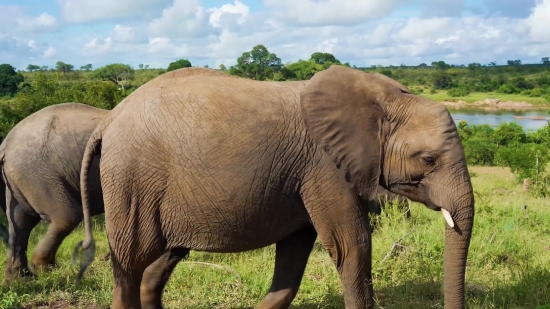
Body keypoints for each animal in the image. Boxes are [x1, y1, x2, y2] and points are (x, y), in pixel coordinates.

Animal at [0, 102, 108, 278]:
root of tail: (5, 145)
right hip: (38, 175)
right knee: (66, 216)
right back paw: (44, 268)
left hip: (17, 179)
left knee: (20, 222)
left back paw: (20, 278)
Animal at [74, 65, 478, 308]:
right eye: (428, 160)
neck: (385, 98)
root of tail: (109, 119)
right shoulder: (325, 167)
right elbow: (352, 246)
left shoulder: (303, 176)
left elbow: (294, 254)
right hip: (132, 179)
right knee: (130, 263)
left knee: (159, 264)